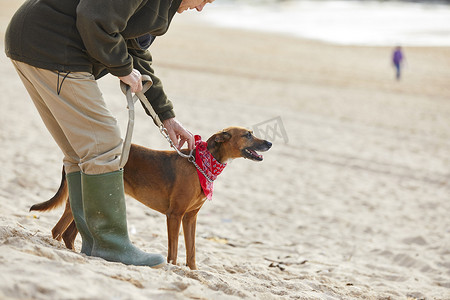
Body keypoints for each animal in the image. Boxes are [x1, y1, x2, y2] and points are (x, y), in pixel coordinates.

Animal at [31, 126, 272, 270]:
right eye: (248, 134)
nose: (269, 143)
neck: (201, 165)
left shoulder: (190, 218)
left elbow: (192, 252)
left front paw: (193, 273)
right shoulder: (174, 216)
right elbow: (173, 251)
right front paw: (171, 269)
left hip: (85, 205)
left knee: (69, 234)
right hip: (76, 204)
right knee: (57, 231)